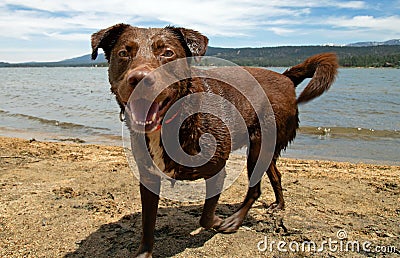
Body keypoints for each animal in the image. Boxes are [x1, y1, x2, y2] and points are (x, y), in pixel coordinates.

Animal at [90, 23, 338, 256]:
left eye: (168, 53)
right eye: (124, 52)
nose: (140, 79)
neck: (176, 118)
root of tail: (285, 77)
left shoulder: (218, 171)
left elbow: (206, 218)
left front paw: (218, 221)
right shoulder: (149, 178)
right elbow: (147, 223)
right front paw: (144, 253)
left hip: (259, 147)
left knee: (255, 190)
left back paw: (235, 220)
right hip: (266, 150)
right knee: (275, 175)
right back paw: (279, 204)